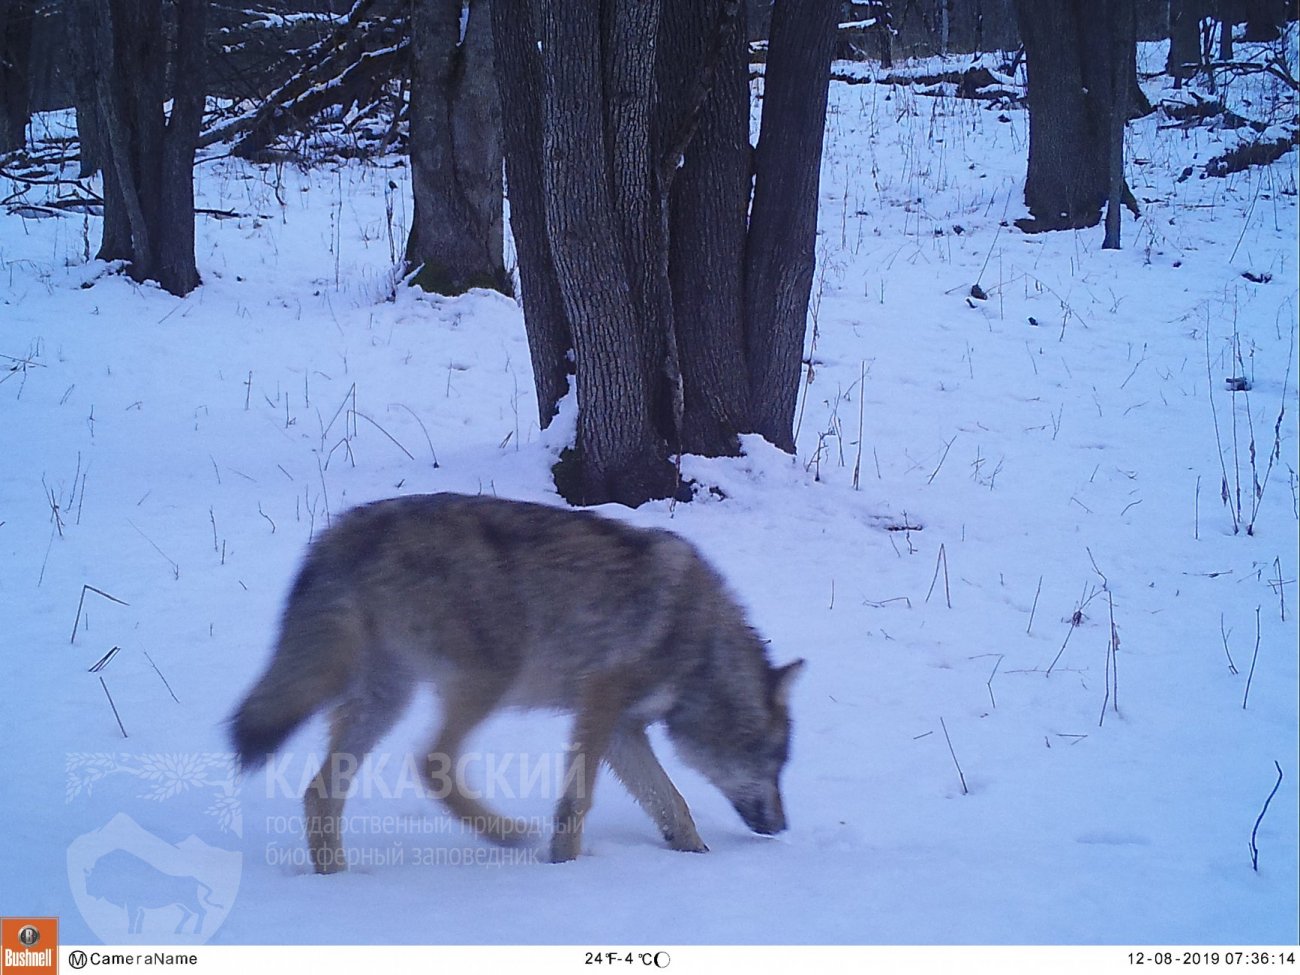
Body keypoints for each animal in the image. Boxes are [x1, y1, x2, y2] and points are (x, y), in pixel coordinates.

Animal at [232, 496, 800, 868]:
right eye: (776, 764)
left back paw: (335, 880)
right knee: (432, 763)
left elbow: (672, 802)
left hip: (388, 697)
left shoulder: (623, 729)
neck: (702, 640)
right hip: (490, 678)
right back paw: (507, 836)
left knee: (320, 792)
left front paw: (696, 857)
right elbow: (577, 801)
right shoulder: (600, 703)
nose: (783, 826)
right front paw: (564, 864)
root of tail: (348, 528)